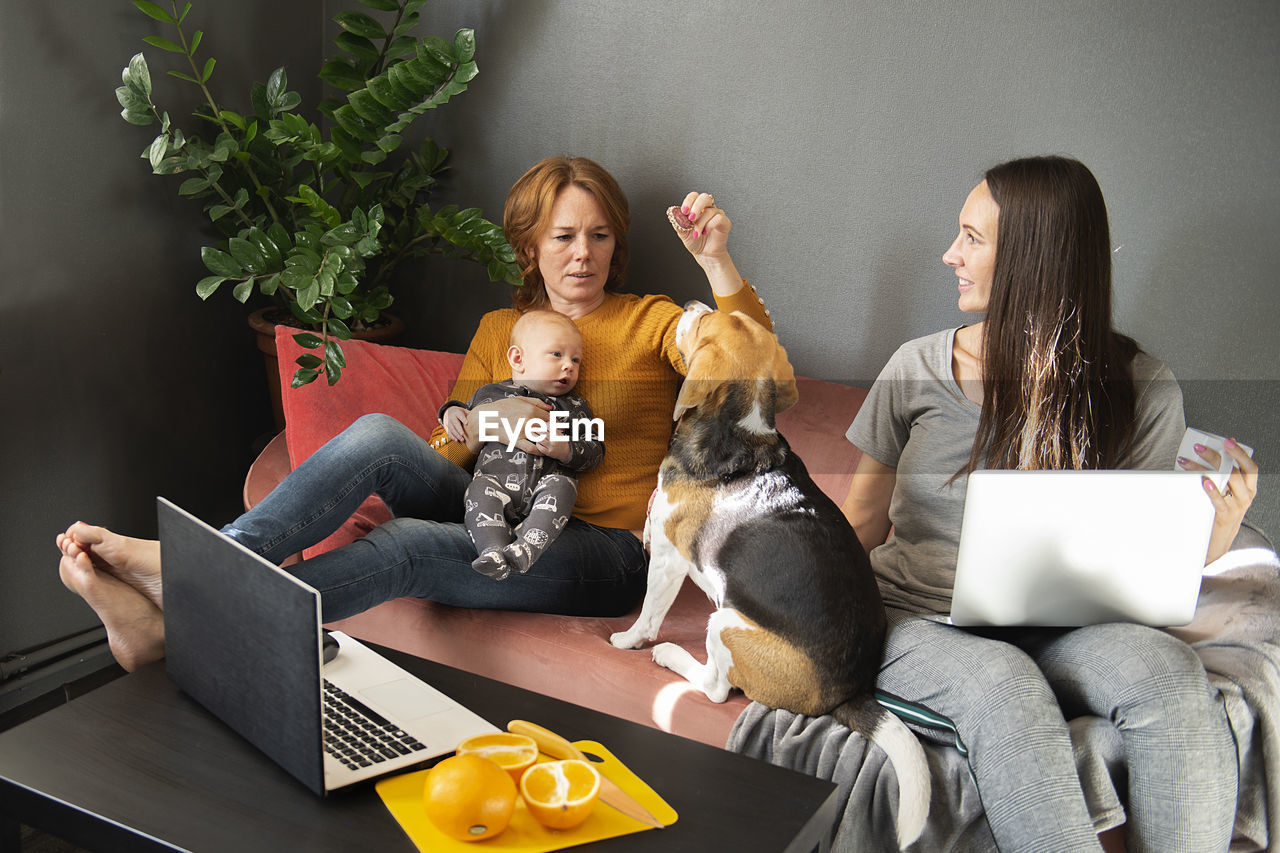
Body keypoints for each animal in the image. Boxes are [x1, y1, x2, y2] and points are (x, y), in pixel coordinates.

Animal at [611, 300, 931, 845]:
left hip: (725, 622)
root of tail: (849, 690)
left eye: (704, 322)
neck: (738, 431)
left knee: (716, 688)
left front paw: (628, 640)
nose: (692, 304)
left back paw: (671, 656)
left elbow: (649, 613)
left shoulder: (671, 559)